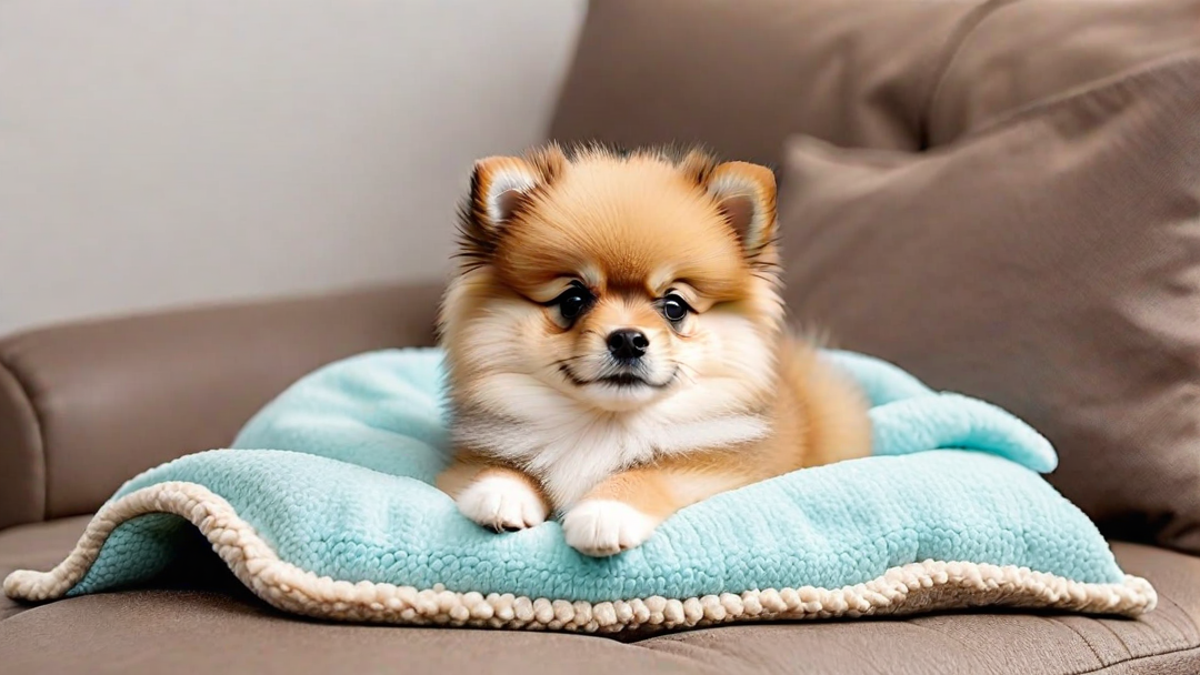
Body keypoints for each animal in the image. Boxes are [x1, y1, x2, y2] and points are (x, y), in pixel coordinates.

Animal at [436, 144, 868, 554]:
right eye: (573, 300)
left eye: (674, 306)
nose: (628, 338)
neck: (604, 425)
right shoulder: (466, 461)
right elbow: (496, 466)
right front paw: (501, 491)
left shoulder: (722, 471)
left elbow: (647, 474)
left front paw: (605, 512)